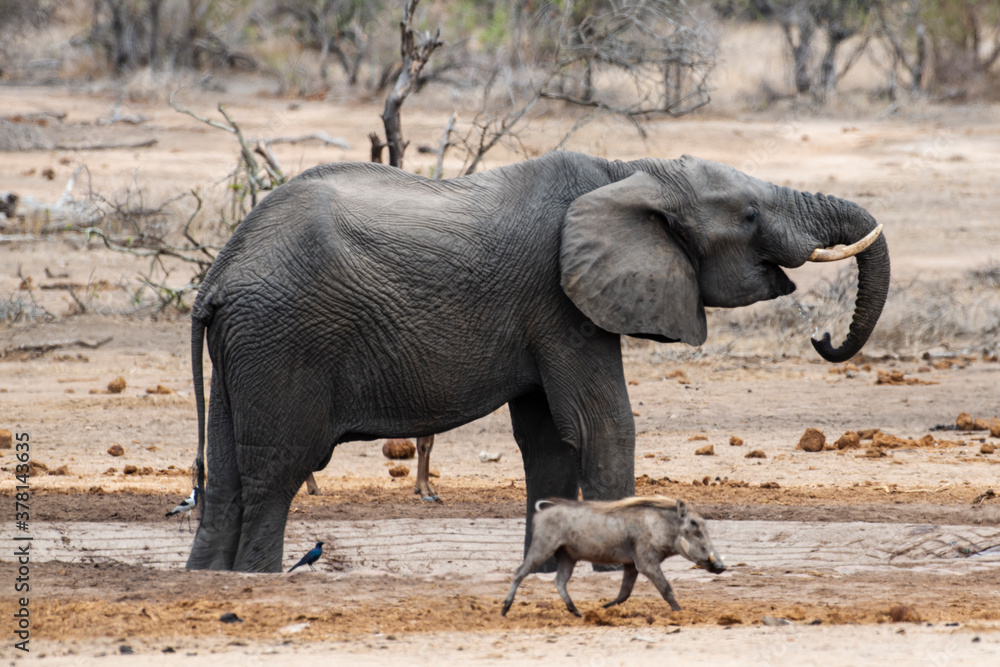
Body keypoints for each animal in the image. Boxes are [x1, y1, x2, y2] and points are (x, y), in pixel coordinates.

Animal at [186, 151, 890, 572]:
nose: (823, 336)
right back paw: (258, 580)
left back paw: (210, 578)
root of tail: (219, 272)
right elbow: (603, 425)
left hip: (245, 349)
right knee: (275, 471)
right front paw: (620, 568)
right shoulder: (561, 303)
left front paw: (549, 570)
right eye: (748, 215)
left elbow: (547, 441)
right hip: (283, 341)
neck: (631, 172)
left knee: (225, 476)